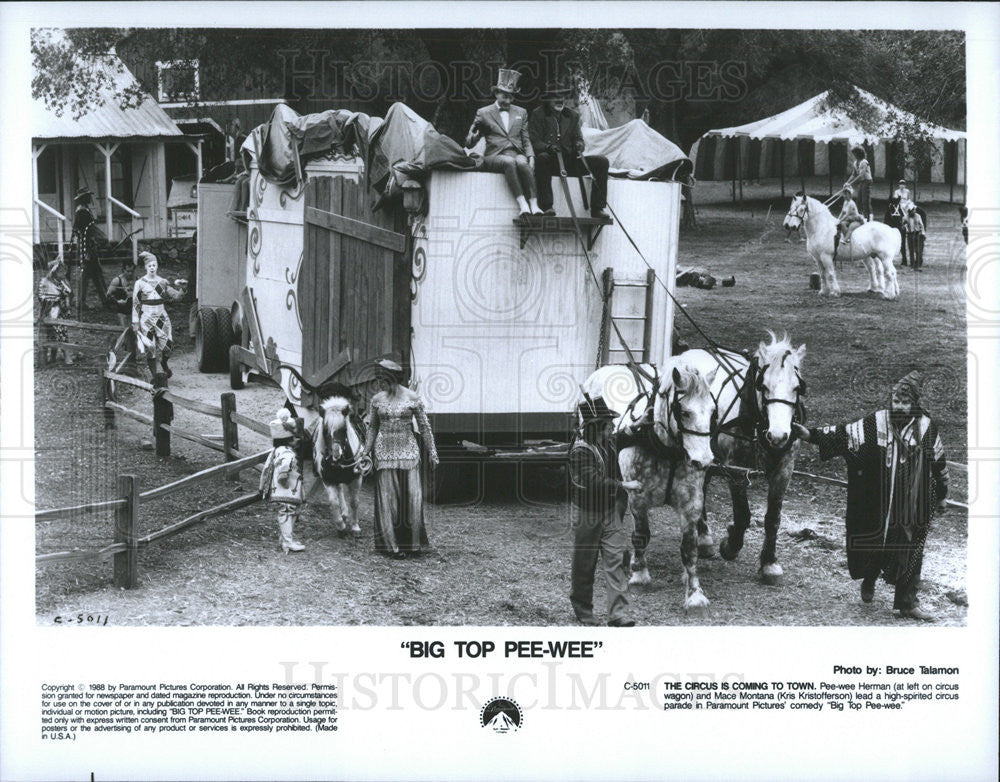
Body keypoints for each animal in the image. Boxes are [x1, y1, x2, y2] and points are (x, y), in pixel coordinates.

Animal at [584, 360, 724, 612]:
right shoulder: (638, 498)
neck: (666, 450)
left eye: (713, 412)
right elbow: (641, 535)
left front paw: (694, 593)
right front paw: (640, 575)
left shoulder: (691, 502)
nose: (704, 461)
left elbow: (689, 547)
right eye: (684, 412)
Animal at [684, 332, 808, 588]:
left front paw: (769, 563)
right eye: (764, 386)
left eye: (797, 388)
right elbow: (742, 515)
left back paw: (704, 537)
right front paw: (730, 545)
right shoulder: (737, 470)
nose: (779, 436)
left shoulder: (785, 469)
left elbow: (773, 518)